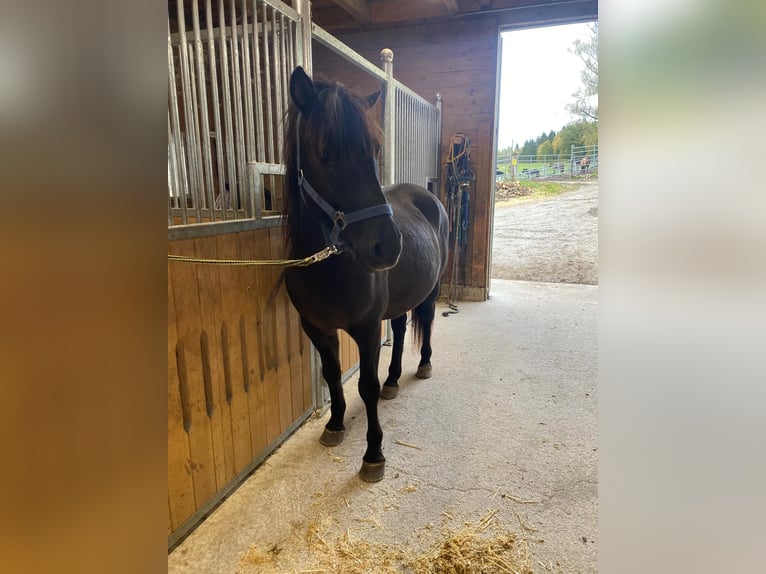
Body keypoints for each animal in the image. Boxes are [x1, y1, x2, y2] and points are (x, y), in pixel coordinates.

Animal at [282, 66, 450, 482]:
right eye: (324, 154)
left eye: (374, 152)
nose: (388, 247)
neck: (327, 268)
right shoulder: (316, 328)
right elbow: (331, 375)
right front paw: (335, 424)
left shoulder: (369, 328)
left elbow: (366, 386)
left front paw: (373, 454)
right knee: (403, 327)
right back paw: (394, 379)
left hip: (430, 290)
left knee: (425, 320)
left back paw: (423, 365)